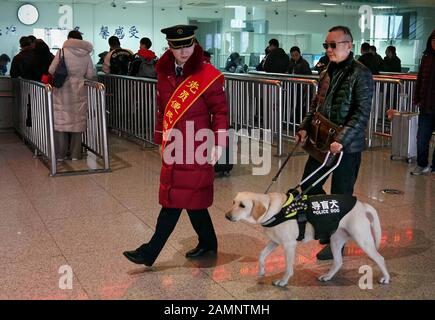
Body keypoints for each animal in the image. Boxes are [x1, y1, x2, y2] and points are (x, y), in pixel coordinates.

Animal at [227, 192, 390, 288]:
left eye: (242, 205)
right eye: (233, 202)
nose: (226, 216)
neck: (273, 210)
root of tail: (362, 205)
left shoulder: (289, 245)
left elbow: (288, 267)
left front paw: (283, 281)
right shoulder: (275, 242)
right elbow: (261, 255)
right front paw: (261, 270)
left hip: (363, 240)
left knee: (380, 258)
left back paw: (386, 278)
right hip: (336, 240)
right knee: (338, 262)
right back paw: (327, 276)